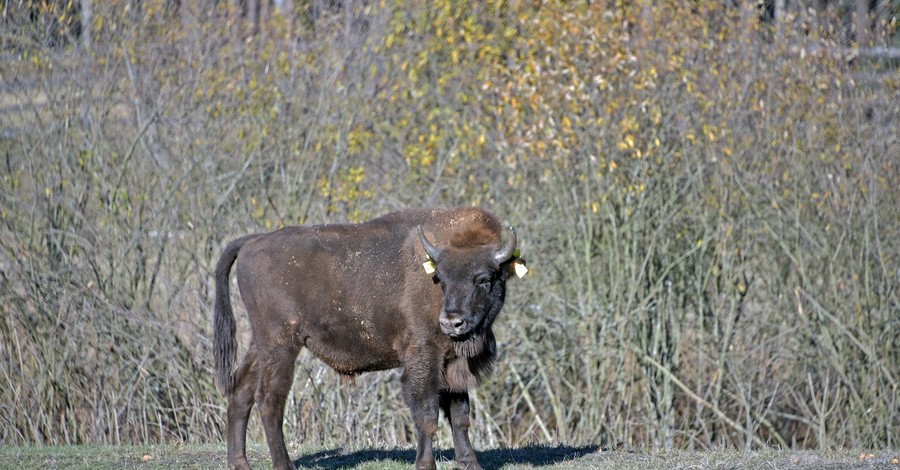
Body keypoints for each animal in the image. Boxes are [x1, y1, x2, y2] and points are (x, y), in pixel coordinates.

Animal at [214, 207, 524, 470]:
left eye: (484, 278)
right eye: (441, 278)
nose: (451, 322)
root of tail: (253, 241)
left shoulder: (452, 364)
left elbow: (460, 416)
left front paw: (471, 464)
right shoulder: (424, 357)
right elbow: (427, 413)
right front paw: (425, 464)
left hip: (261, 344)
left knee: (241, 392)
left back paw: (239, 463)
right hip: (280, 343)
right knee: (269, 399)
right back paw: (283, 465)